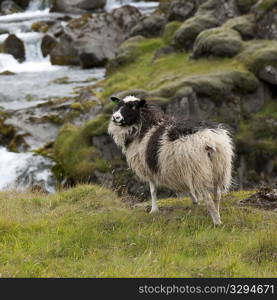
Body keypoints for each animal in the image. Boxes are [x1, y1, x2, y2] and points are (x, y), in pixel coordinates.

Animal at [108, 95, 233, 224]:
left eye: (133, 107)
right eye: (118, 105)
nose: (115, 117)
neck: (145, 127)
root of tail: (208, 140)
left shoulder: (149, 167)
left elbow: (153, 190)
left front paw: (154, 210)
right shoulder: (180, 170)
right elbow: (187, 187)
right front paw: (195, 201)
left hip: (199, 169)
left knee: (208, 198)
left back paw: (216, 221)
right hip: (219, 167)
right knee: (217, 195)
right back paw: (218, 216)